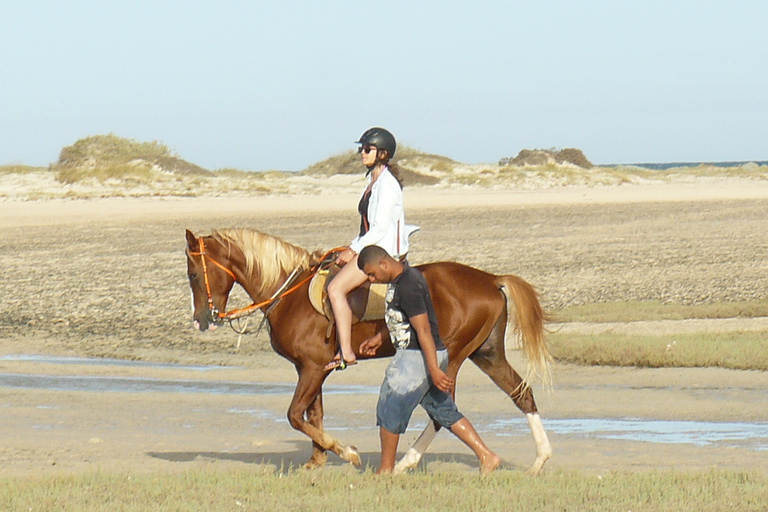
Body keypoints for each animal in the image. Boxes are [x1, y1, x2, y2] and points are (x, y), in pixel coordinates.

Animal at [185, 227, 553, 475]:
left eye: (193, 274)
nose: (202, 319)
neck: (289, 293)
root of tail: (490, 278)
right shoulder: (311, 368)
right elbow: (313, 414)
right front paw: (317, 459)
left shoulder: (313, 367)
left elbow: (295, 415)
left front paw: (345, 451)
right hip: (486, 354)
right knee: (520, 394)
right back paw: (539, 460)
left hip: (450, 357)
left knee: (443, 410)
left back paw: (406, 462)